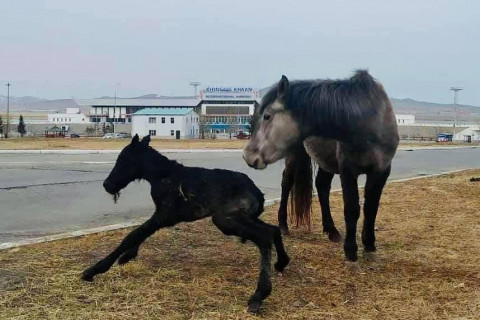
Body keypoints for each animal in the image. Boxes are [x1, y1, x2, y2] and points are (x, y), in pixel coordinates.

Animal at [81, 134, 288, 312]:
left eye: (123, 160)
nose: (107, 185)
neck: (163, 176)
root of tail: (258, 193)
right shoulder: (163, 216)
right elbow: (139, 234)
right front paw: (127, 256)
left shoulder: (163, 215)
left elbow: (133, 235)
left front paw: (94, 270)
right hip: (241, 217)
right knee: (273, 229)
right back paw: (282, 262)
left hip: (225, 219)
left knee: (264, 236)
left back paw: (259, 295)